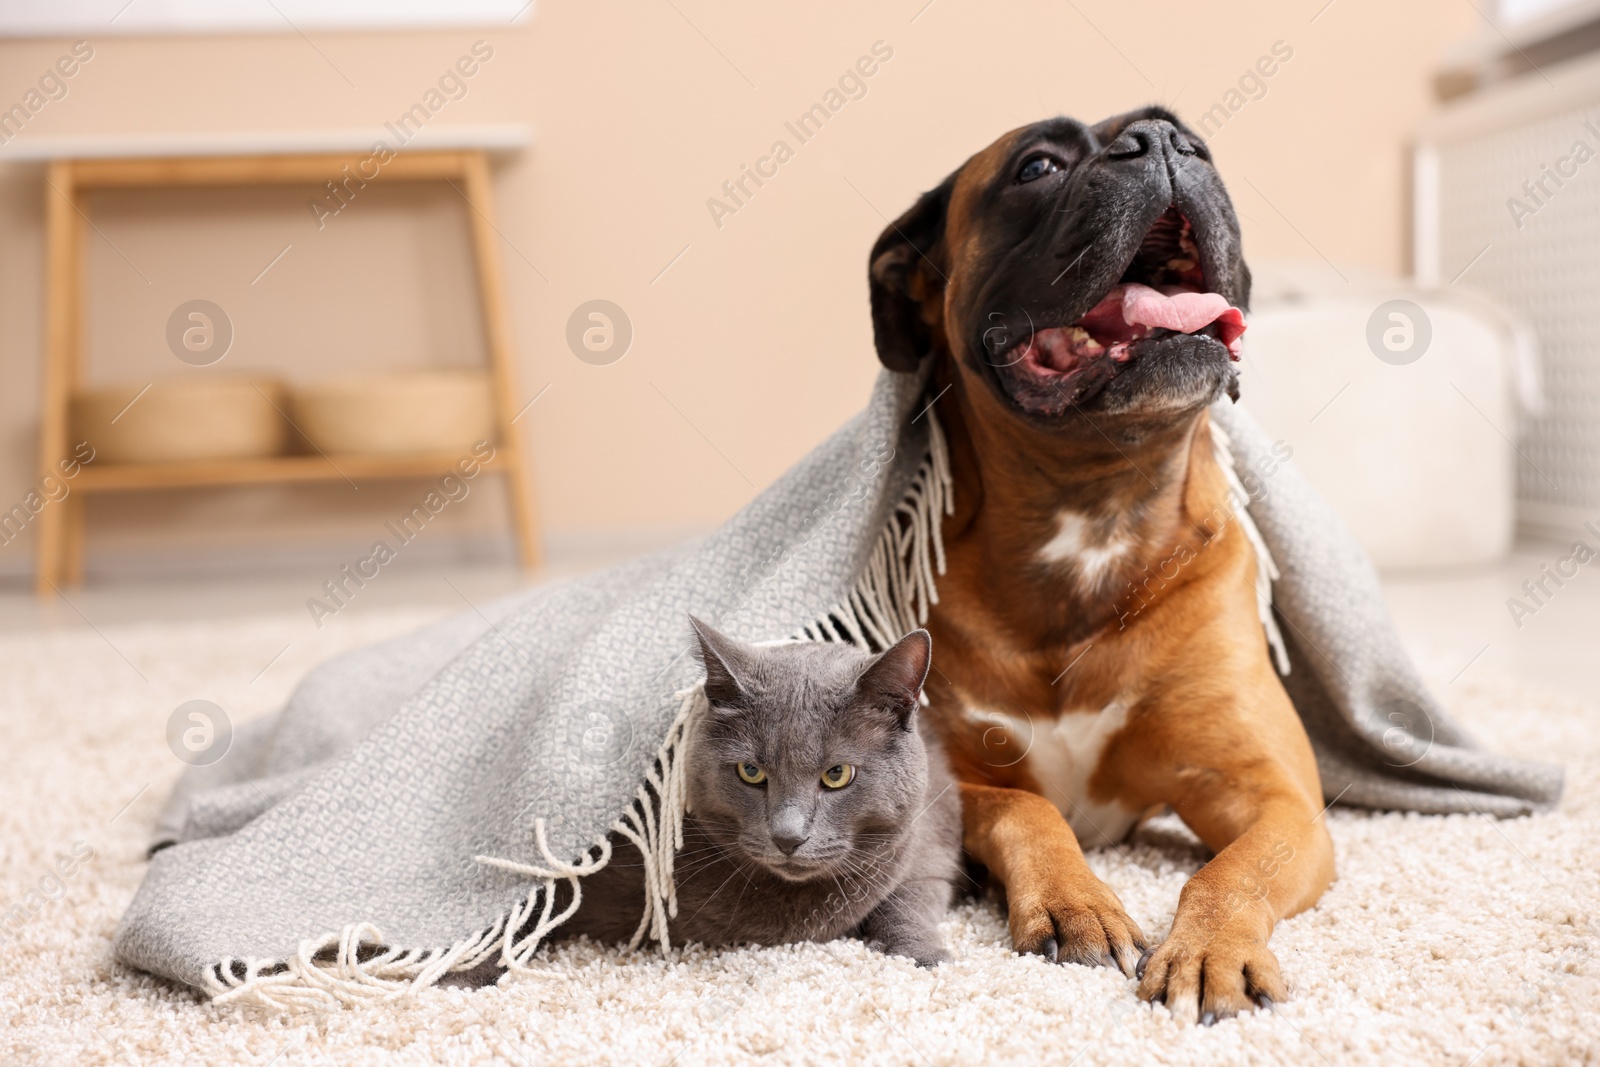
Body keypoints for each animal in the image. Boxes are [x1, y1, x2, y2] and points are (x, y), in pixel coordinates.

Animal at [560, 617, 960, 966]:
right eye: (750, 772)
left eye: (837, 774)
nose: (788, 837)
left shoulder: (930, 833)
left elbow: (912, 895)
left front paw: (919, 953)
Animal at [870, 108, 1331, 1023]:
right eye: (1037, 167)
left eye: (1197, 142)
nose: (1163, 143)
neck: (1097, 499)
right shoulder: (945, 779)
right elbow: (1024, 806)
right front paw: (1074, 899)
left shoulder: (1274, 796)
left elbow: (1230, 870)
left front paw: (1210, 949)